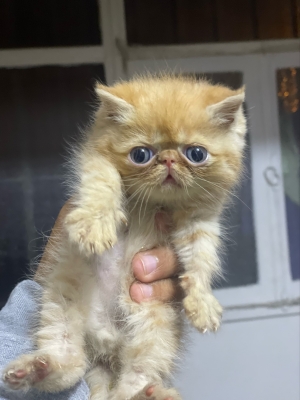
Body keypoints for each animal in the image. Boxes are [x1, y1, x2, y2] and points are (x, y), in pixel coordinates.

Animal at [2, 75, 246, 400]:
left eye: (196, 154)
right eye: (141, 155)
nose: (169, 160)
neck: (158, 203)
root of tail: (105, 349)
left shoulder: (202, 219)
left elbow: (201, 258)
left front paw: (202, 302)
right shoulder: (95, 159)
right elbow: (104, 182)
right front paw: (94, 226)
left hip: (155, 330)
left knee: (128, 383)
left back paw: (149, 393)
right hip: (60, 299)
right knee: (68, 364)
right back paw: (33, 369)